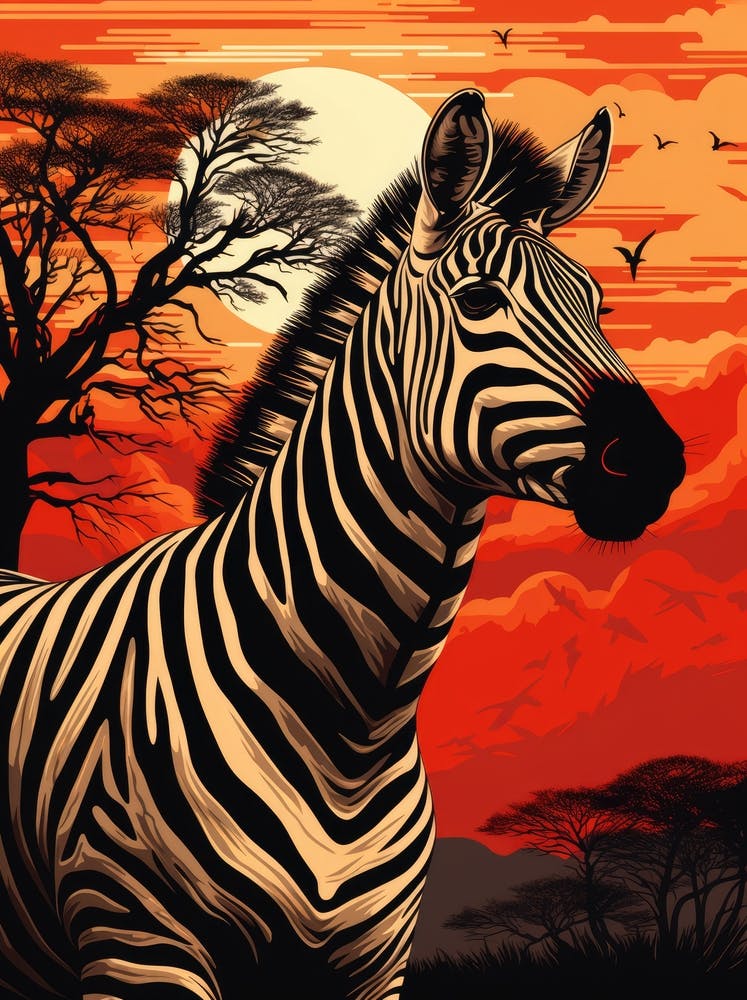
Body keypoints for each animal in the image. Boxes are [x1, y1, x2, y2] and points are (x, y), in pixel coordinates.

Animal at [0, 89, 684, 1000]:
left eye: (597, 305)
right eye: (478, 302)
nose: (654, 462)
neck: (352, 719)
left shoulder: (373, 966)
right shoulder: (138, 946)